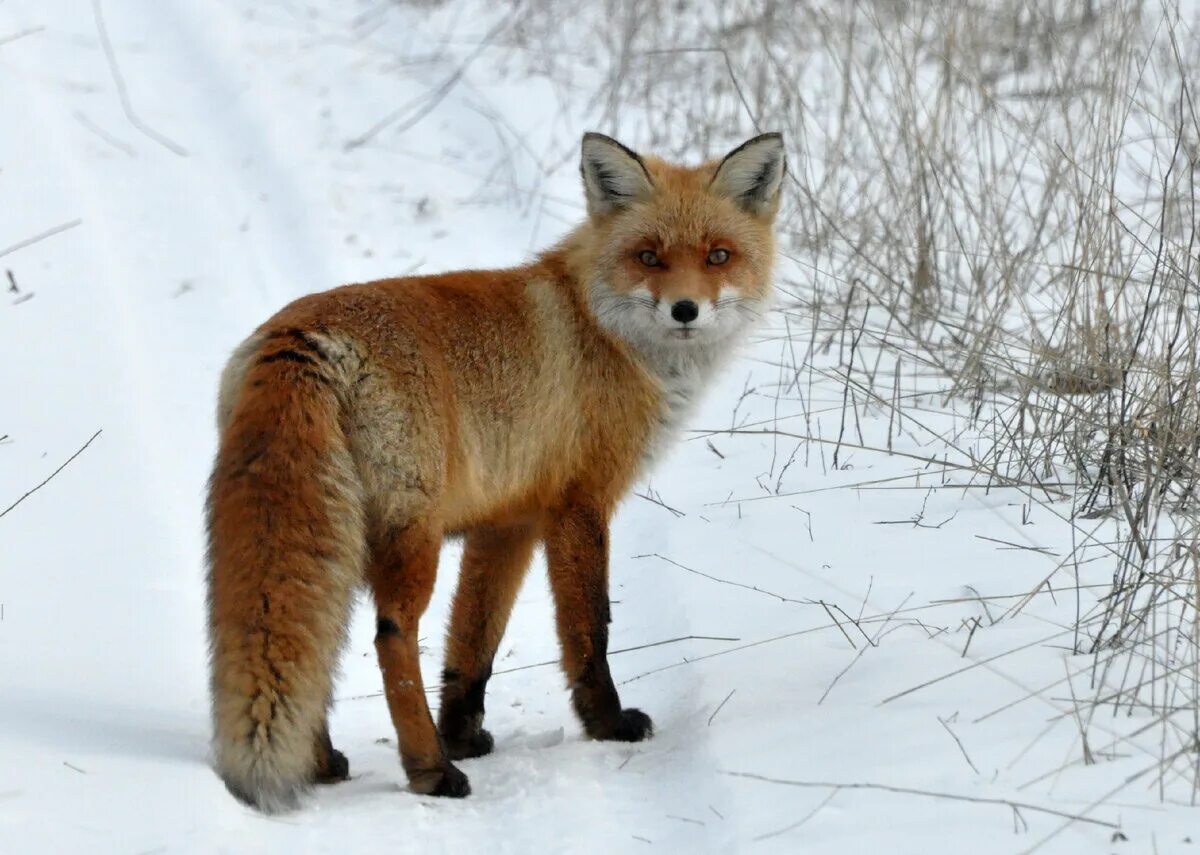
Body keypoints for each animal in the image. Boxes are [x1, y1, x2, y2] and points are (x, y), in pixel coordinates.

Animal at [206, 132, 787, 806]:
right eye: (649, 257)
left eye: (719, 256)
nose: (686, 310)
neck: (600, 326)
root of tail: (303, 337)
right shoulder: (578, 505)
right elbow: (590, 629)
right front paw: (607, 723)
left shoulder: (507, 523)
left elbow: (474, 642)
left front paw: (463, 733)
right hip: (412, 536)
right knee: (390, 637)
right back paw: (431, 771)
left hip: (337, 538)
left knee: (318, 640)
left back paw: (327, 761)